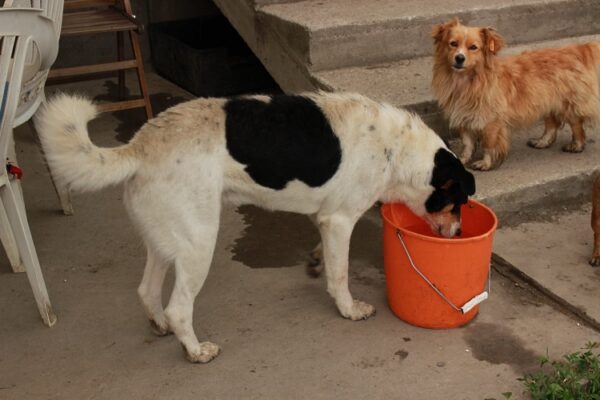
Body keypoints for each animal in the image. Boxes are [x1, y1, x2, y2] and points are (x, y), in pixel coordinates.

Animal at [35, 90, 476, 362]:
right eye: (458, 203)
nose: (458, 236)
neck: (396, 150)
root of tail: (140, 146)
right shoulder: (339, 220)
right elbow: (340, 275)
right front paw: (348, 309)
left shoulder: (324, 219)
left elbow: (324, 256)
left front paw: (315, 262)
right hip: (198, 243)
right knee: (179, 307)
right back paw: (195, 351)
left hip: (166, 238)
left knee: (147, 290)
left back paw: (159, 325)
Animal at [432, 18, 600, 170]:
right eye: (453, 44)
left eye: (473, 47)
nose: (459, 58)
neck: (468, 80)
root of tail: (574, 50)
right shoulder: (464, 116)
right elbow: (467, 143)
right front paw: (463, 159)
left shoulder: (492, 121)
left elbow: (489, 144)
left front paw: (486, 163)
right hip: (547, 102)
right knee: (552, 124)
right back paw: (542, 141)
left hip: (567, 102)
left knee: (576, 123)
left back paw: (576, 145)